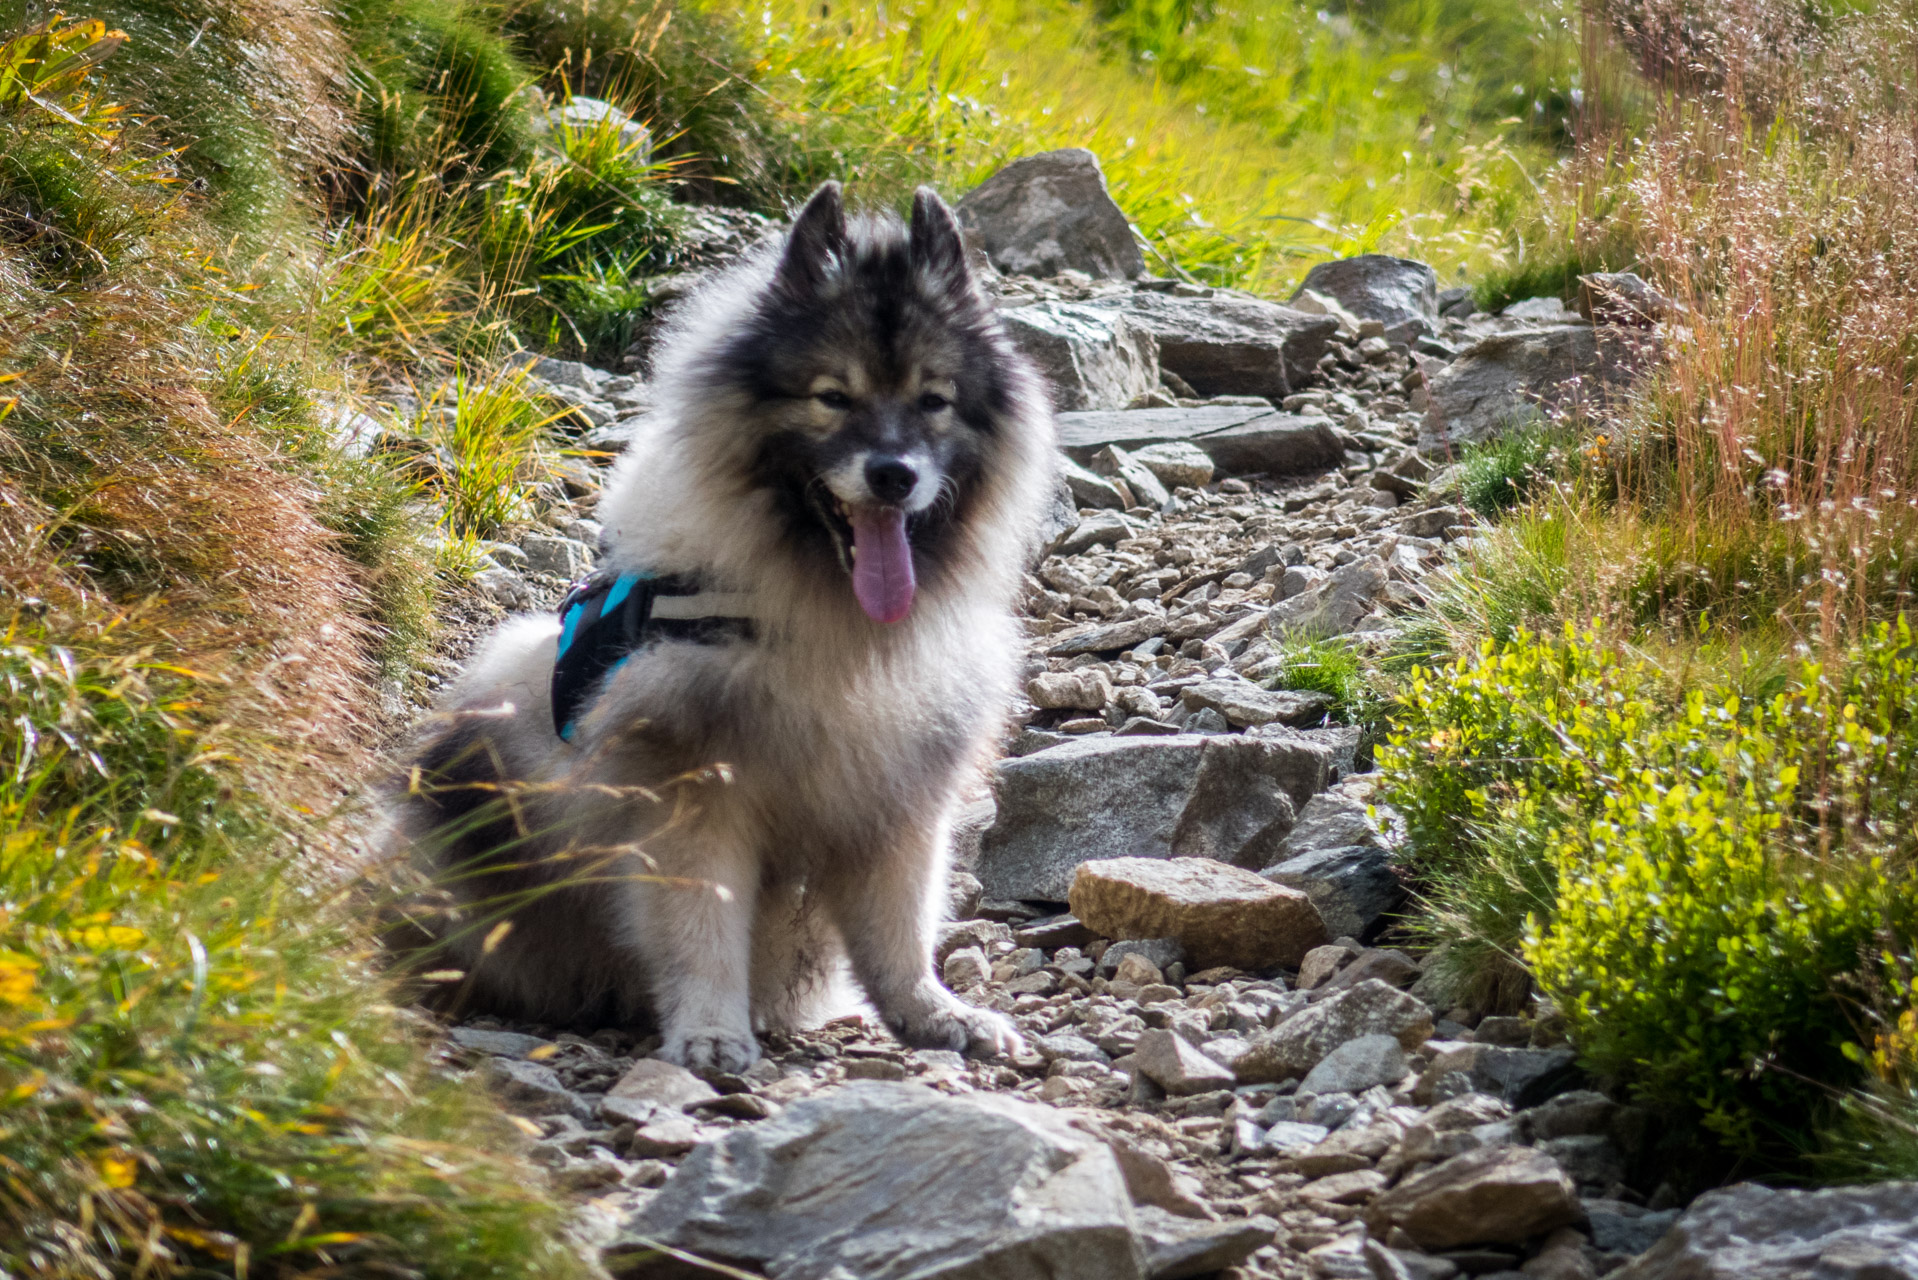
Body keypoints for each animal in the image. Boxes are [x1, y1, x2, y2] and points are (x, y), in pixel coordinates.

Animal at [389, 182, 1051, 1074]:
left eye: (933, 401)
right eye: (832, 396)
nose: (893, 475)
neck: (822, 617)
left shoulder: (900, 799)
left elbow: (900, 931)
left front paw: (932, 1012)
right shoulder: (694, 792)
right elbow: (701, 926)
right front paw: (709, 1029)